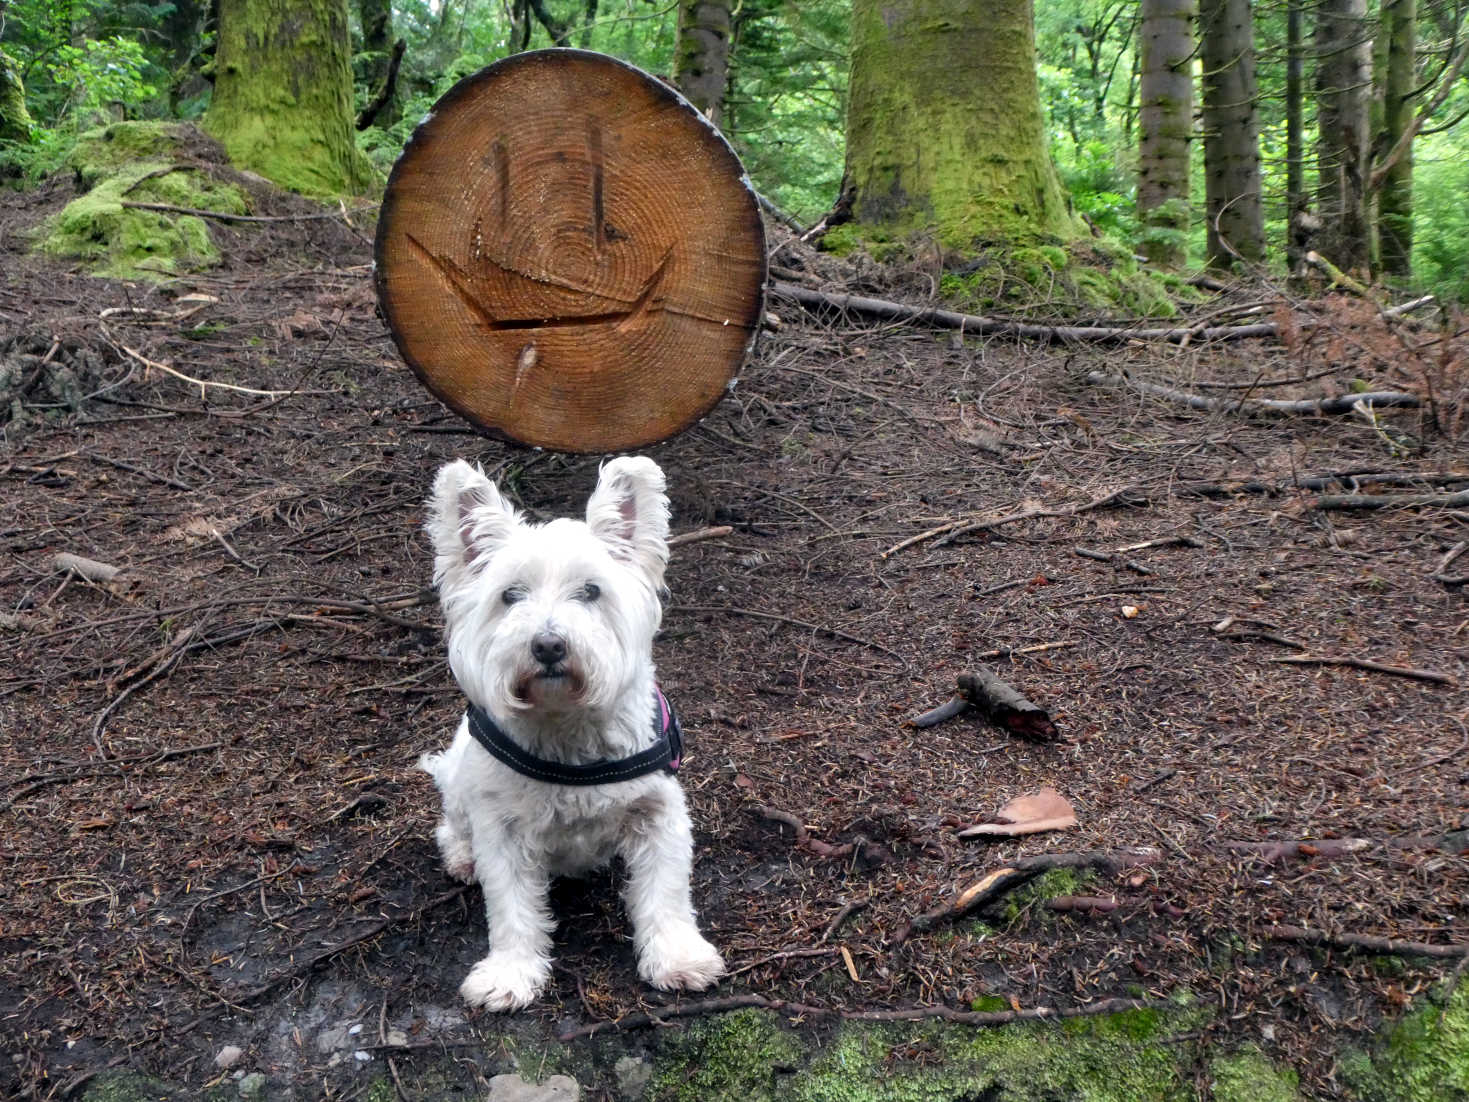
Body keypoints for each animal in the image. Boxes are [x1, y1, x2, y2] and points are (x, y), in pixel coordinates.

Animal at [417, 455, 725, 1010]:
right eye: (509, 595)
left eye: (592, 591)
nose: (548, 646)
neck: (566, 725)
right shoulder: (502, 829)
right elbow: (511, 907)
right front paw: (510, 973)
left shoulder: (658, 811)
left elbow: (665, 891)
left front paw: (678, 957)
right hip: (459, 779)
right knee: (452, 825)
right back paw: (462, 857)